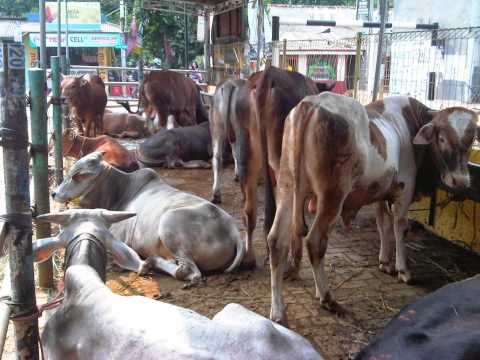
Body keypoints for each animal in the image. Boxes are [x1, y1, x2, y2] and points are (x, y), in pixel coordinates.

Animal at [52, 152, 246, 284]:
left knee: (189, 273)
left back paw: (154, 260)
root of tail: (233, 231)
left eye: (76, 176)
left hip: (169, 222)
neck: (119, 191)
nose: (53, 193)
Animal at [268, 93, 478, 324]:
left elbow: (382, 226)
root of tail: (311, 103)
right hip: (332, 196)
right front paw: (403, 270)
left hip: (286, 186)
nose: (461, 181)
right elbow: (400, 228)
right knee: (315, 242)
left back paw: (278, 311)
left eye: (471, 140)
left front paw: (384, 262)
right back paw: (327, 297)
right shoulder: (404, 190)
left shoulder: (381, 192)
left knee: (276, 241)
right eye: (441, 138)